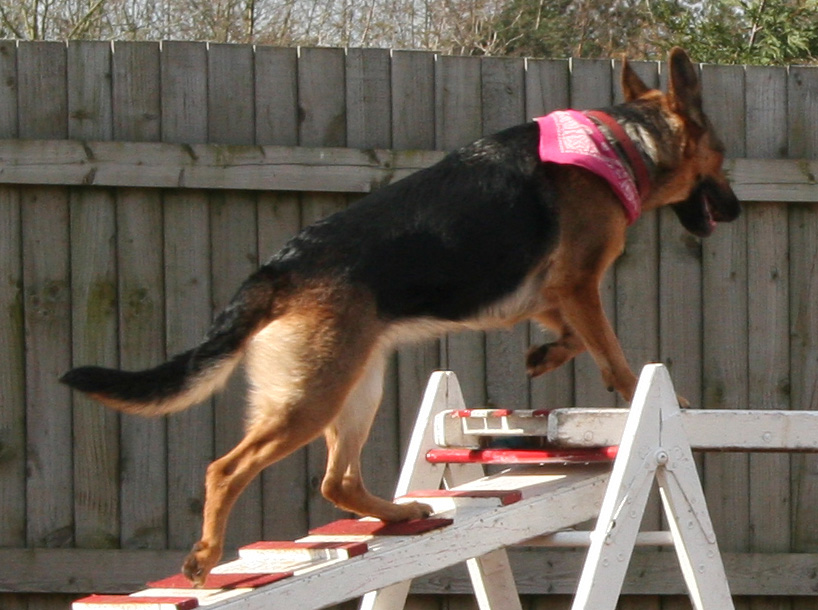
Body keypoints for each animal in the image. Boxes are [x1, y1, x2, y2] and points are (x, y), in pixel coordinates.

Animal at [62, 48, 740, 584]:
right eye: (724, 157)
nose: (734, 210)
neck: (626, 142)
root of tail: (282, 263)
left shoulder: (552, 295)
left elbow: (572, 338)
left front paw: (544, 355)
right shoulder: (577, 284)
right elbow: (614, 354)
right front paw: (643, 394)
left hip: (356, 386)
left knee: (336, 481)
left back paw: (399, 513)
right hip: (313, 397)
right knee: (225, 469)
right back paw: (204, 557)